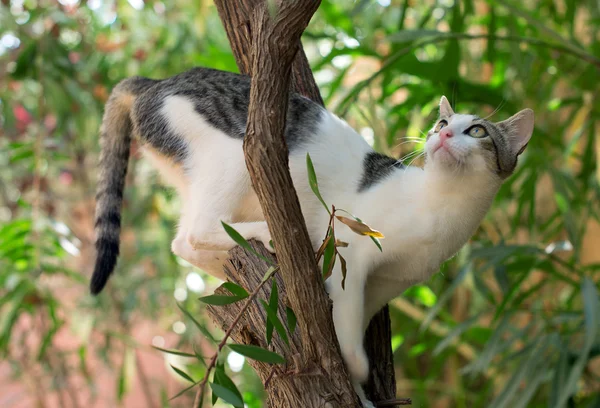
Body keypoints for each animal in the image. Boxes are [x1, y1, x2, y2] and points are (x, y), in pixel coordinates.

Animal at [92, 66, 536, 404]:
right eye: (443, 123)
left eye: (477, 132)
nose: (442, 136)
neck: (440, 206)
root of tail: (158, 80)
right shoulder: (351, 253)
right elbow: (348, 327)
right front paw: (355, 370)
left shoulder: (382, 287)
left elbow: (354, 320)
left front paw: (360, 390)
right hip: (239, 154)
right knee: (196, 232)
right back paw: (268, 235)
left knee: (184, 240)